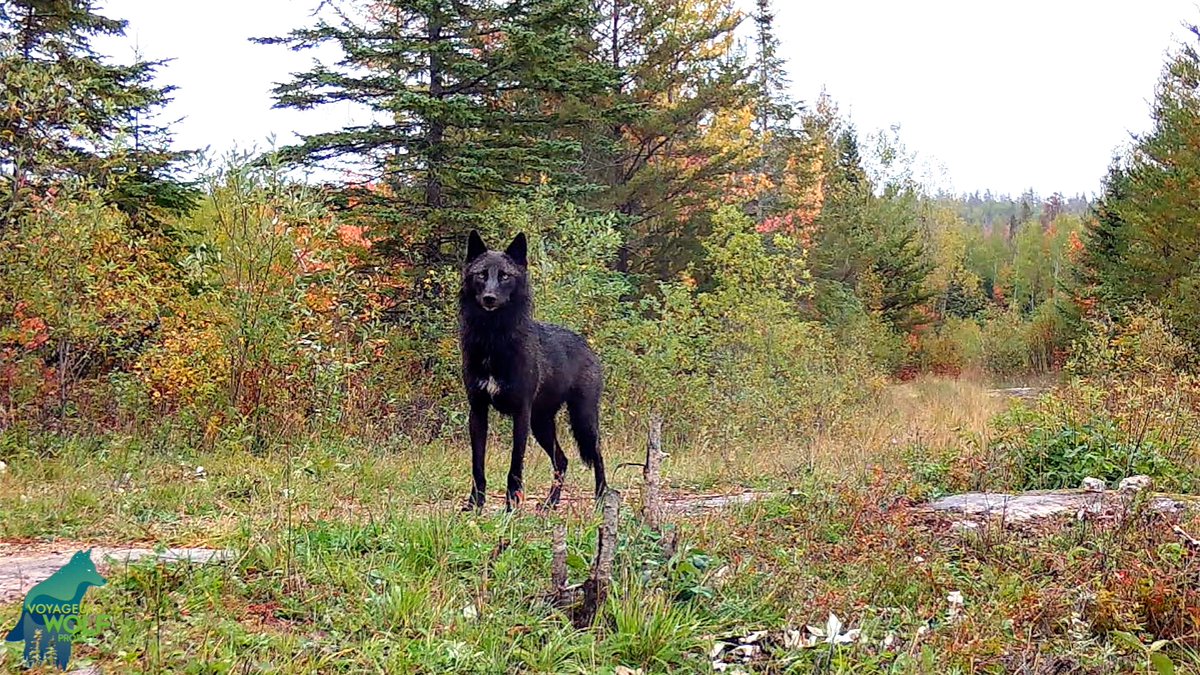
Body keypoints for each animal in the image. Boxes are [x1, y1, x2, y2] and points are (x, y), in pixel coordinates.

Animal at [459, 230, 607, 511]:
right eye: (481, 274)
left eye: (505, 276)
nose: (489, 298)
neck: (493, 340)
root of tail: (586, 345)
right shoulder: (478, 412)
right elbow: (476, 465)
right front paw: (475, 504)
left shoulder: (521, 414)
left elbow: (515, 466)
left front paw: (511, 507)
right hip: (542, 425)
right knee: (562, 460)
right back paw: (550, 503)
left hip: (582, 420)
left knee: (598, 457)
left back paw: (602, 499)